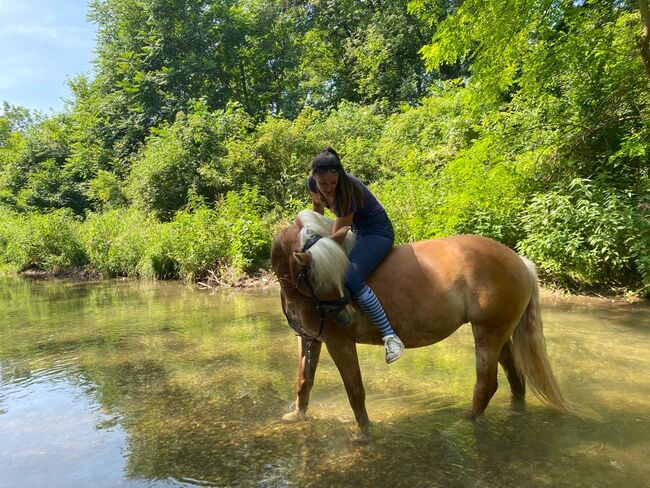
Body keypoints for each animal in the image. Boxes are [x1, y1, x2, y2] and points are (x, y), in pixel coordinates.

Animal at [270, 208, 568, 428]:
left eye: (340, 275)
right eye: (316, 278)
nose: (346, 316)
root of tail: (520, 261)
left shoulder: (339, 342)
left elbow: (355, 391)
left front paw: (364, 432)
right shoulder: (310, 338)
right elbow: (304, 381)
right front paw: (297, 416)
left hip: (488, 333)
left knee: (486, 385)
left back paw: (462, 424)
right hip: (502, 334)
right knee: (515, 381)